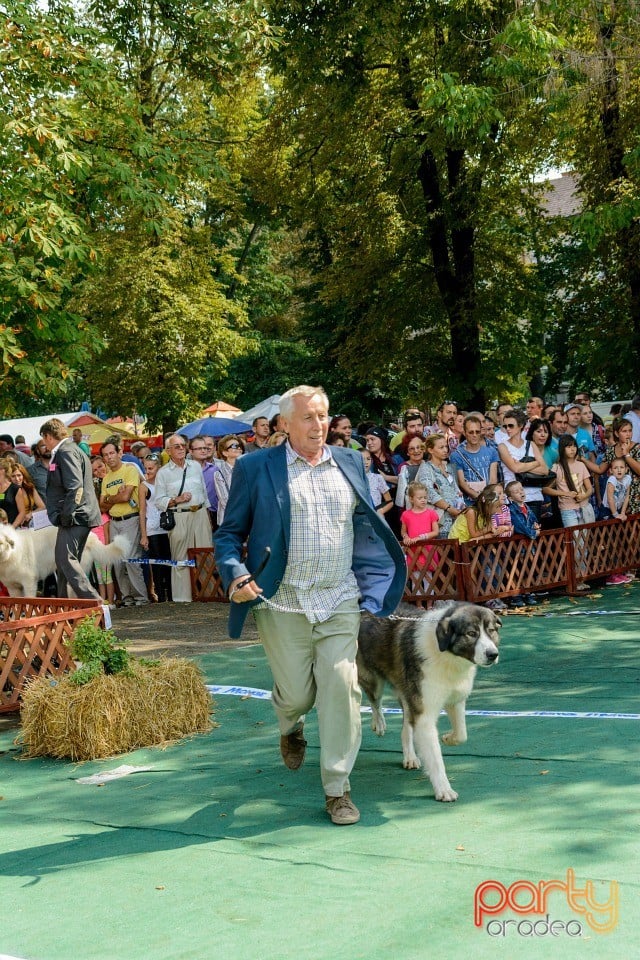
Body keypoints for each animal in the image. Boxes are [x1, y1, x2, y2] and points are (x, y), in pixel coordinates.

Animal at [358, 600, 502, 804]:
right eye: (471, 633)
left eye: (491, 631)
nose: (492, 654)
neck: (448, 655)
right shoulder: (424, 714)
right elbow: (435, 758)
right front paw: (444, 789)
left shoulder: (455, 700)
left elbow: (462, 734)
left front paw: (448, 738)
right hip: (373, 680)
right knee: (375, 702)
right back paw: (379, 723)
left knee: (406, 725)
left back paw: (410, 756)